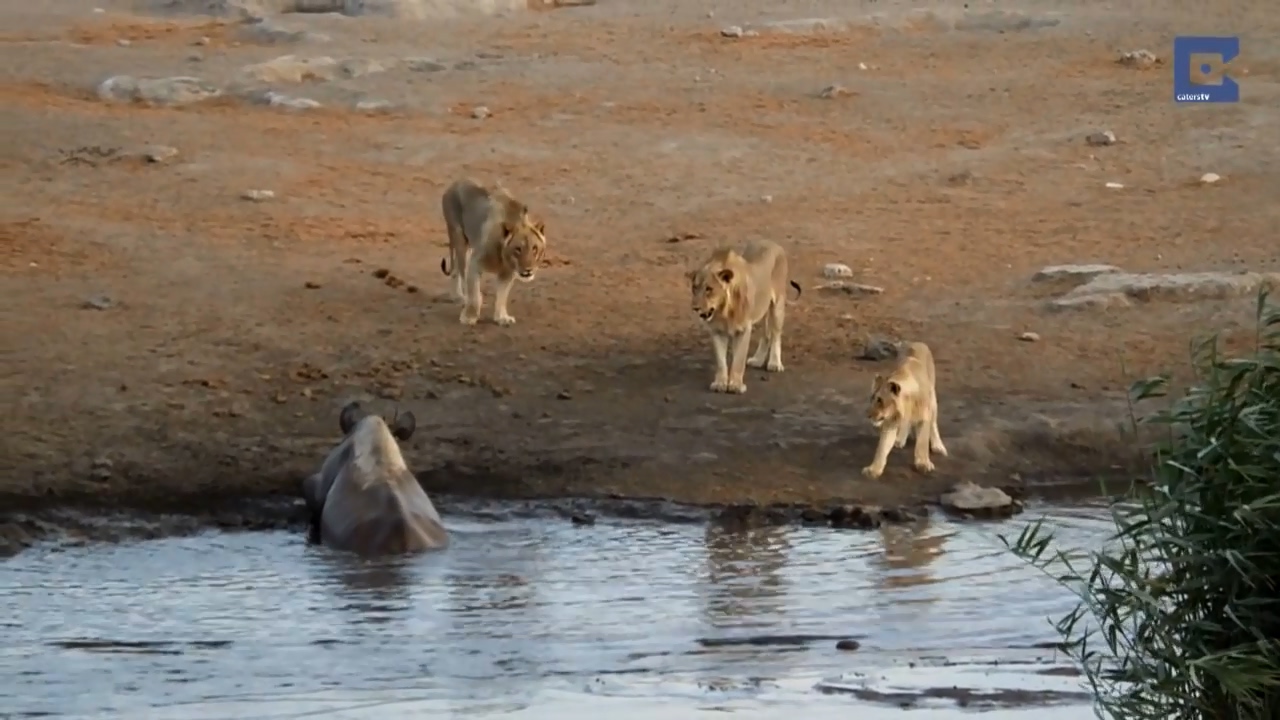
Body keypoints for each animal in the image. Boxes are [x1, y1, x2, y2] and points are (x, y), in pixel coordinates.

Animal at [439, 178, 547, 327]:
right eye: (518, 249)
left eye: (534, 249)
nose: (528, 270)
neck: (503, 256)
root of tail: (456, 182)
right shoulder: (475, 264)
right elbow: (474, 294)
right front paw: (469, 317)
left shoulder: (507, 274)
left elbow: (502, 296)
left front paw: (502, 317)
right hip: (459, 238)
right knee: (460, 269)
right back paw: (461, 298)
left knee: (456, 268)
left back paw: (457, 296)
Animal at [687, 239, 802, 394]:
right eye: (694, 288)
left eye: (709, 289)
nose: (695, 308)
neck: (723, 310)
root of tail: (772, 243)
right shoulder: (717, 331)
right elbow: (721, 361)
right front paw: (720, 383)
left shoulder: (744, 329)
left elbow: (738, 360)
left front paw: (736, 385)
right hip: (762, 308)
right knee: (766, 334)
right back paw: (758, 360)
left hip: (778, 304)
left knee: (776, 334)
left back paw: (774, 363)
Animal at [861, 341, 948, 479]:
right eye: (872, 398)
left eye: (880, 400)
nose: (868, 415)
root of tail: (917, 342)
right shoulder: (889, 423)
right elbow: (882, 448)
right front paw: (873, 470)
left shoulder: (924, 418)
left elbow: (922, 443)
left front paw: (923, 464)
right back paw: (899, 440)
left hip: (933, 399)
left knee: (933, 424)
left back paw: (938, 446)